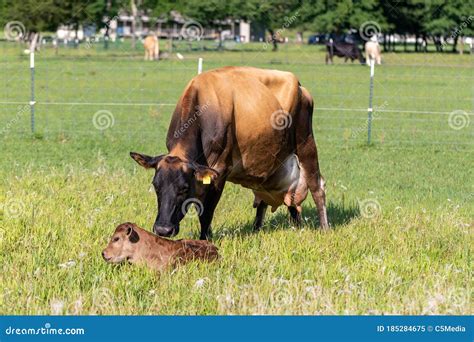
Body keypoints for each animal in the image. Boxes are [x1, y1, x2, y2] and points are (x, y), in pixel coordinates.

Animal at [131, 65, 330, 239]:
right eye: (156, 186)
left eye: (184, 188)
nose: (163, 230)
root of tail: (300, 87)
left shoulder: (219, 170)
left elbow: (206, 212)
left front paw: (205, 240)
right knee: (277, 200)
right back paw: (270, 229)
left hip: (306, 143)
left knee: (317, 187)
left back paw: (324, 228)